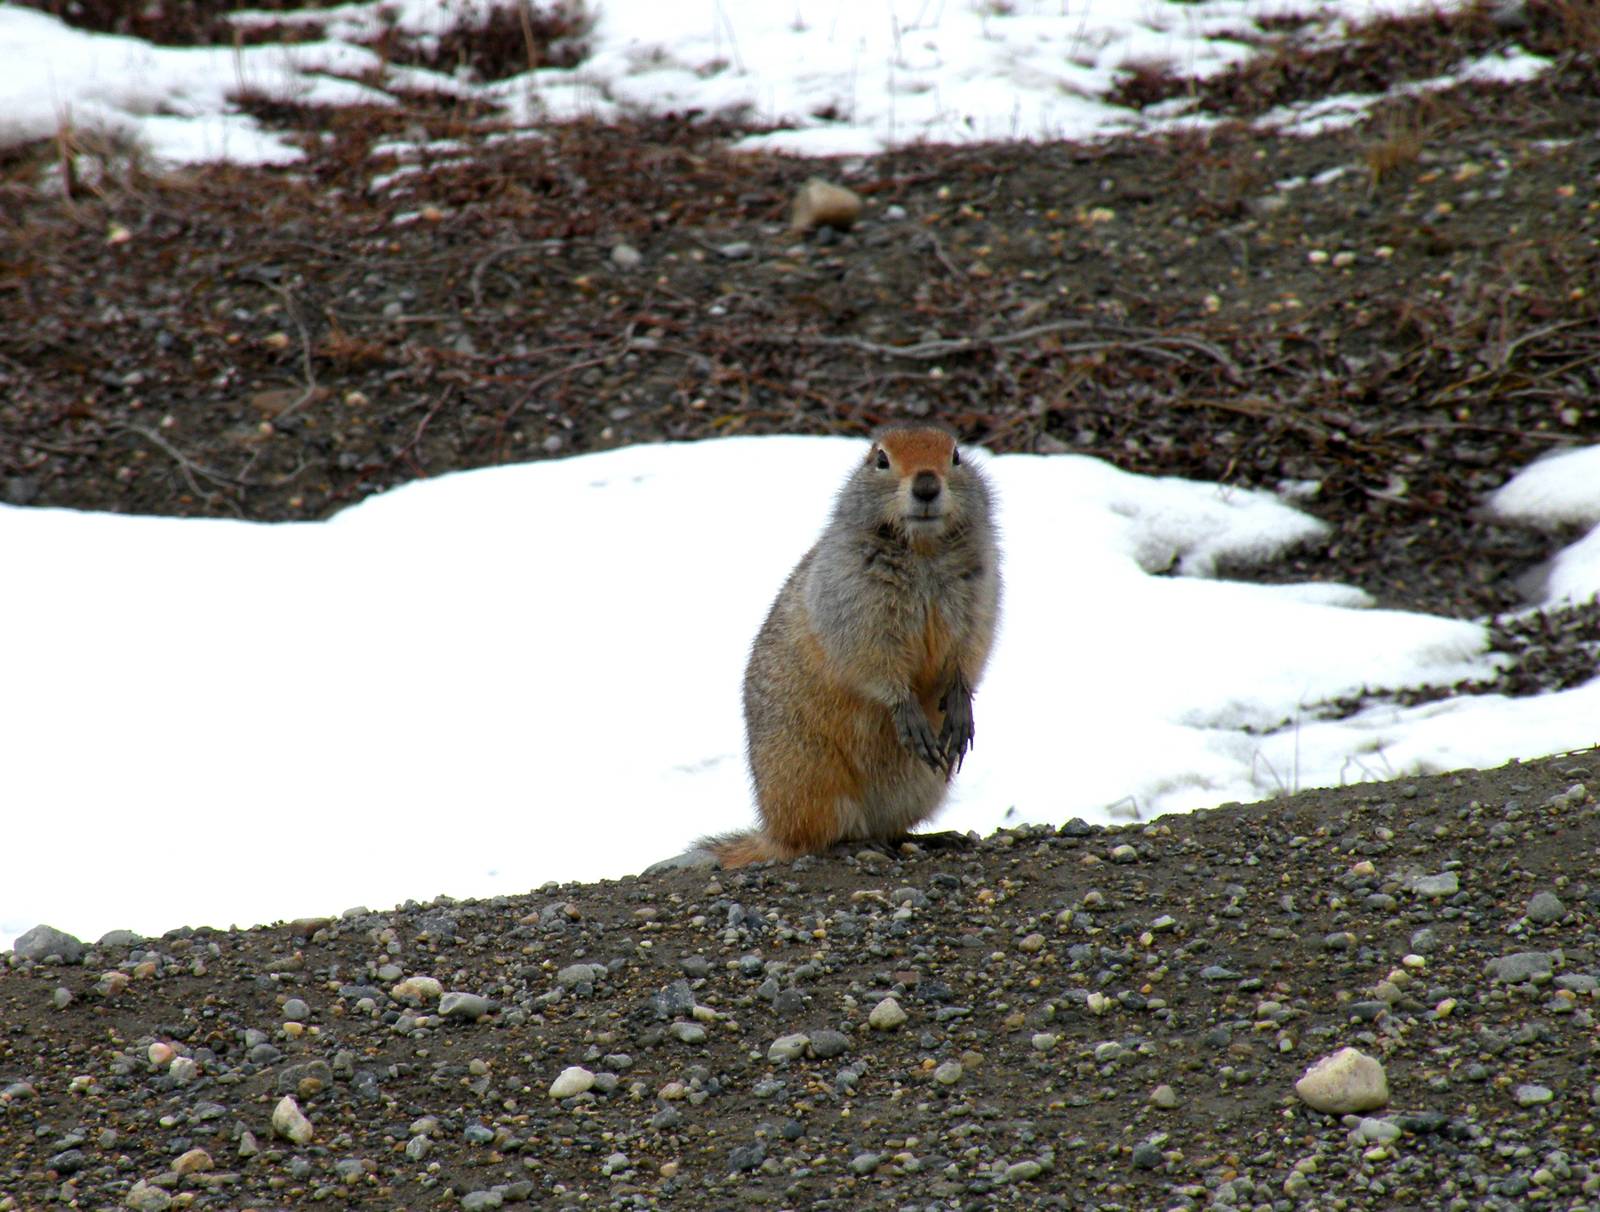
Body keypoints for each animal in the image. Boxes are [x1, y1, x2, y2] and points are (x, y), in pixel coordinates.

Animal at [703, 423, 1001, 867]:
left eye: (956, 455)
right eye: (881, 459)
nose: (927, 485)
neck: (923, 549)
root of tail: (772, 831)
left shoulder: (981, 592)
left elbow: (971, 649)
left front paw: (960, 707)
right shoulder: (854, 598)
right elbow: (871, 655)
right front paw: (907, 712)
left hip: (921, 788)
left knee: (887, 828)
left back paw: (936, 837)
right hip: (812, 775)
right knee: (820, 838)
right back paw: (854, 844)